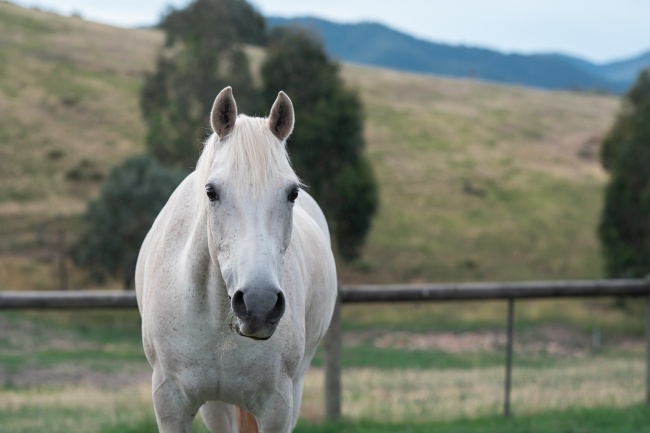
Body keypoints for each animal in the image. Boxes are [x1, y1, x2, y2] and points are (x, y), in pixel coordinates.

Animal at [135, 87, 338, 433]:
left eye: (292, 193)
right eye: (212, 192)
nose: (259, 305)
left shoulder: (277, 408)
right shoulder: (170, 401)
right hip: (216, 406)